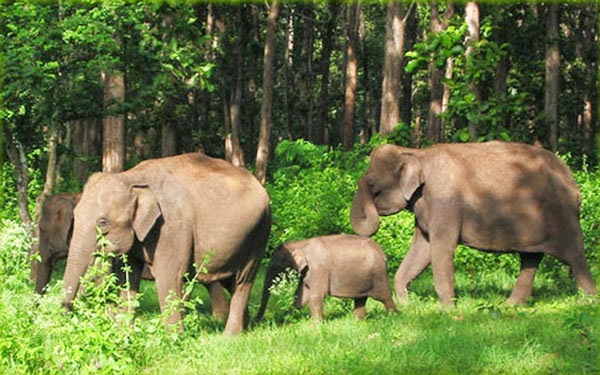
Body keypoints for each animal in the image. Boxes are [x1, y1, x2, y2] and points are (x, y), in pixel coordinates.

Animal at [62, 153, 270, 334]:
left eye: (102, 222)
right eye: (75, 215)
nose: (65, 311)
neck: (132, 177)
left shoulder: (172, 227)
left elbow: (169, 276)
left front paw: (174, 339)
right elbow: (127, 276)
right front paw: (122, 334)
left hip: (259, 233)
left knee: (243, 280)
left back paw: (229, 336)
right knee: (227, 278)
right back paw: (245, 328)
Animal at [255, 234, 396, 322]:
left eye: (275, 266)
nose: (257, 321)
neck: (301, 243)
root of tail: (383, 254)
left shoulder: (319, 269)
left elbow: (316, 295)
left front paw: (315, 326)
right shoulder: (307, 273)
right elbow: (301, 296)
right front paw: (287, 318)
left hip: (378, 275)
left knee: (385, 297)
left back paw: (395, 316)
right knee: (360, 299)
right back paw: (358, 321)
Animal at [350, 141, 596, 306]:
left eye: (372, 185)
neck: (417, 153)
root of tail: (573, 182)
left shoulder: (444, 201)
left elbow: (441, 248)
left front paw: (448, 311)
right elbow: (422, 248)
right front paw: (407, 304)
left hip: (562, 216)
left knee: (574, 255)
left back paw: (588, 302)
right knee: (530, 258)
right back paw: (510, 306)